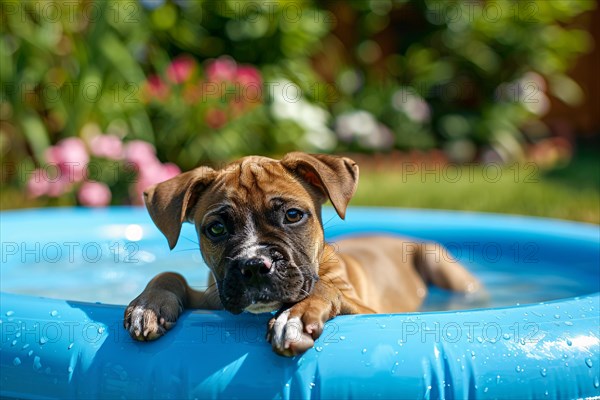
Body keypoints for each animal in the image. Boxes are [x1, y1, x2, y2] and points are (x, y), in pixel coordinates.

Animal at [124, 152, 480, 356]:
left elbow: (325, 286)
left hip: (440, 264)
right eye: (216, 229)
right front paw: (149, 305)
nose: (255, 266)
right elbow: (169, 274)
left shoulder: (371, 311)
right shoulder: (214, 299)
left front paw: (295, 315)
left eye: (293, 215)